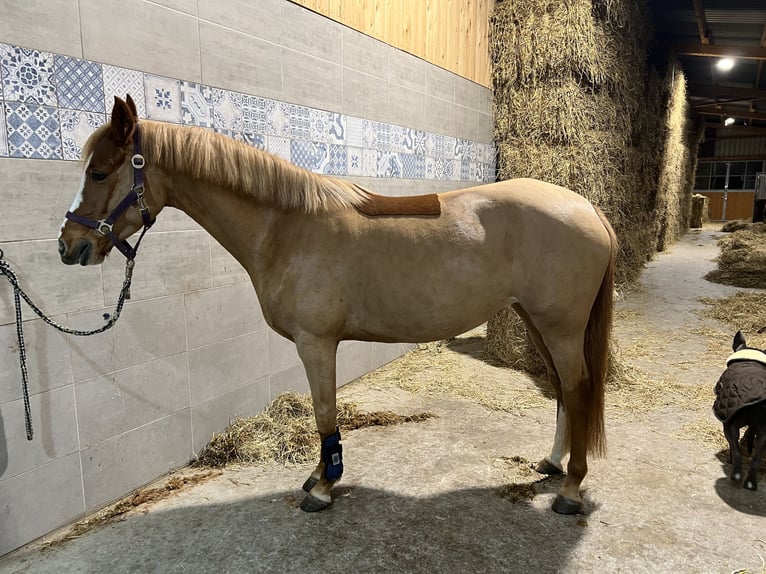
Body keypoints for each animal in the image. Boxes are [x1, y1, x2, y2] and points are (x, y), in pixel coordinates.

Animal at [58, 97, 616, 516]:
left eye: (100, 172)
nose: (69, 247)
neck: (285, 226)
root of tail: (588, 208)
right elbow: (320, 414)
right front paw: (317, 476)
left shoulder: (316, 342)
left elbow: (324, 413)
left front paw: (324, 488)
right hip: (535, 320)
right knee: (561, 388)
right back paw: (552, 464)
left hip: (560, 326)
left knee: (578, 388)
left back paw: (570, 489)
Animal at [712, 332, 766, 490]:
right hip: (763, 431)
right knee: (756, 458)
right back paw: (750, 483)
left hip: (730, 424)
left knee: (736, 450)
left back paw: (736, 475)